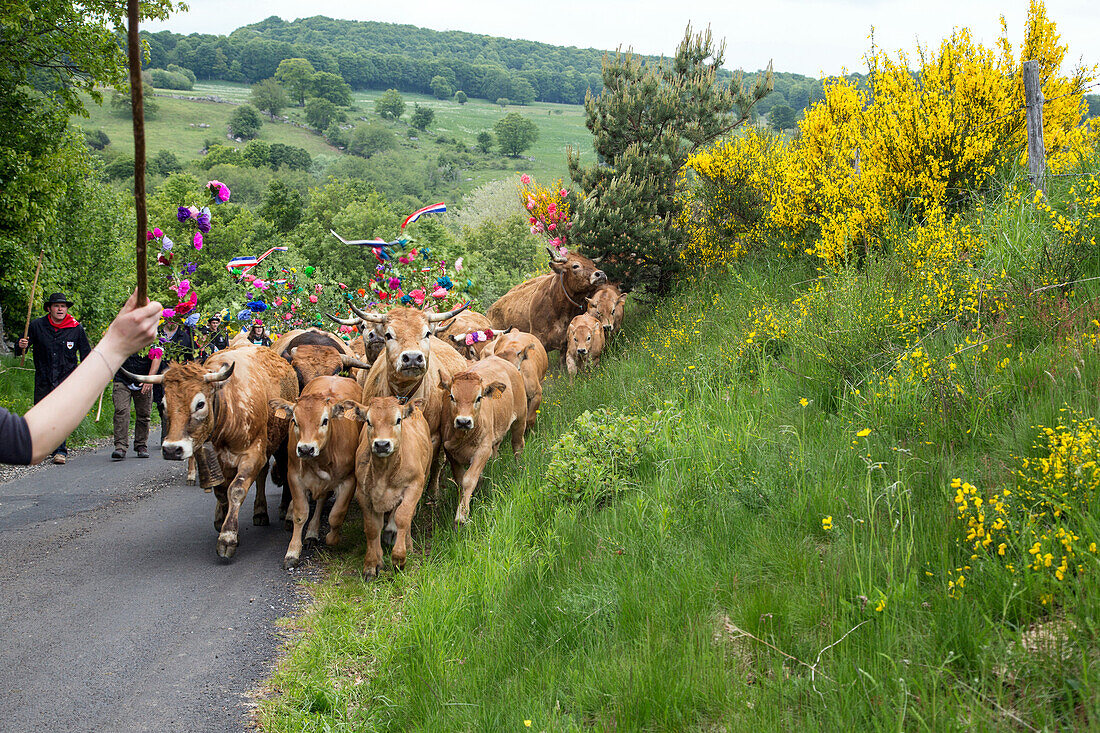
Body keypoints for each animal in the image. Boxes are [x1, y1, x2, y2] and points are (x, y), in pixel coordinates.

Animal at [124, 345, 299, 556]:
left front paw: (228, 537)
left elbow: (236, 489)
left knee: (281, 469)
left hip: (282, 443)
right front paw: (222, 521)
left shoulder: (253, 453)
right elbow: (222, 491)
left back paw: (285, 511)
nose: (172, 450)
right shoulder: (217, 459)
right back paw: (260, 511)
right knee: (260, 476)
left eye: (200, 404)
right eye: (164, 404)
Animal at [268, 374, 363, 567]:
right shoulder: (294, 477)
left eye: (325, 421)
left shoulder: (349, 480)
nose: (305, 449)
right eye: (294, 421)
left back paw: (313, 533)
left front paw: (332, 538)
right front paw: (292, 552)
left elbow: (336, 515)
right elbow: (300, 514)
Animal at [327, 394, 431, 576]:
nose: (382, 444)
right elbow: (372, 527)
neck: (384, 473)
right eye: (368, 421)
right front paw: (371, 564)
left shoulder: (414, 486)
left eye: (398, 420)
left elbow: (403, 518)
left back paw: (408, 545)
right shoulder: (363, 493)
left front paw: (399, 558)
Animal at [437, 354, 523, 521]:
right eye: (452, 396)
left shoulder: (482, 451)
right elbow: (460, 480)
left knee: (517, 444)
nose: (463, 421)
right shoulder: (450, 452)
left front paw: (462, 515)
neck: (463, 437)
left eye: (478, 398)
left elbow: (468, 480)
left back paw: (518, 466)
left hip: (521, 419)